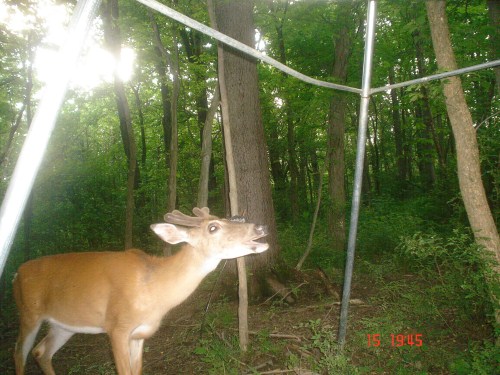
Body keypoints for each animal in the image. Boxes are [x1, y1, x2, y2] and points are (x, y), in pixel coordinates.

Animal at [13, 207, 268, 374]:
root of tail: (17, 273)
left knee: (41, 352)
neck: (154, 289)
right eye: (213, 227)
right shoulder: (116, 327)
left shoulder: (140, 334)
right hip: (28, 313)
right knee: (19, 353)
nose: (261, 226)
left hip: (64, 325)